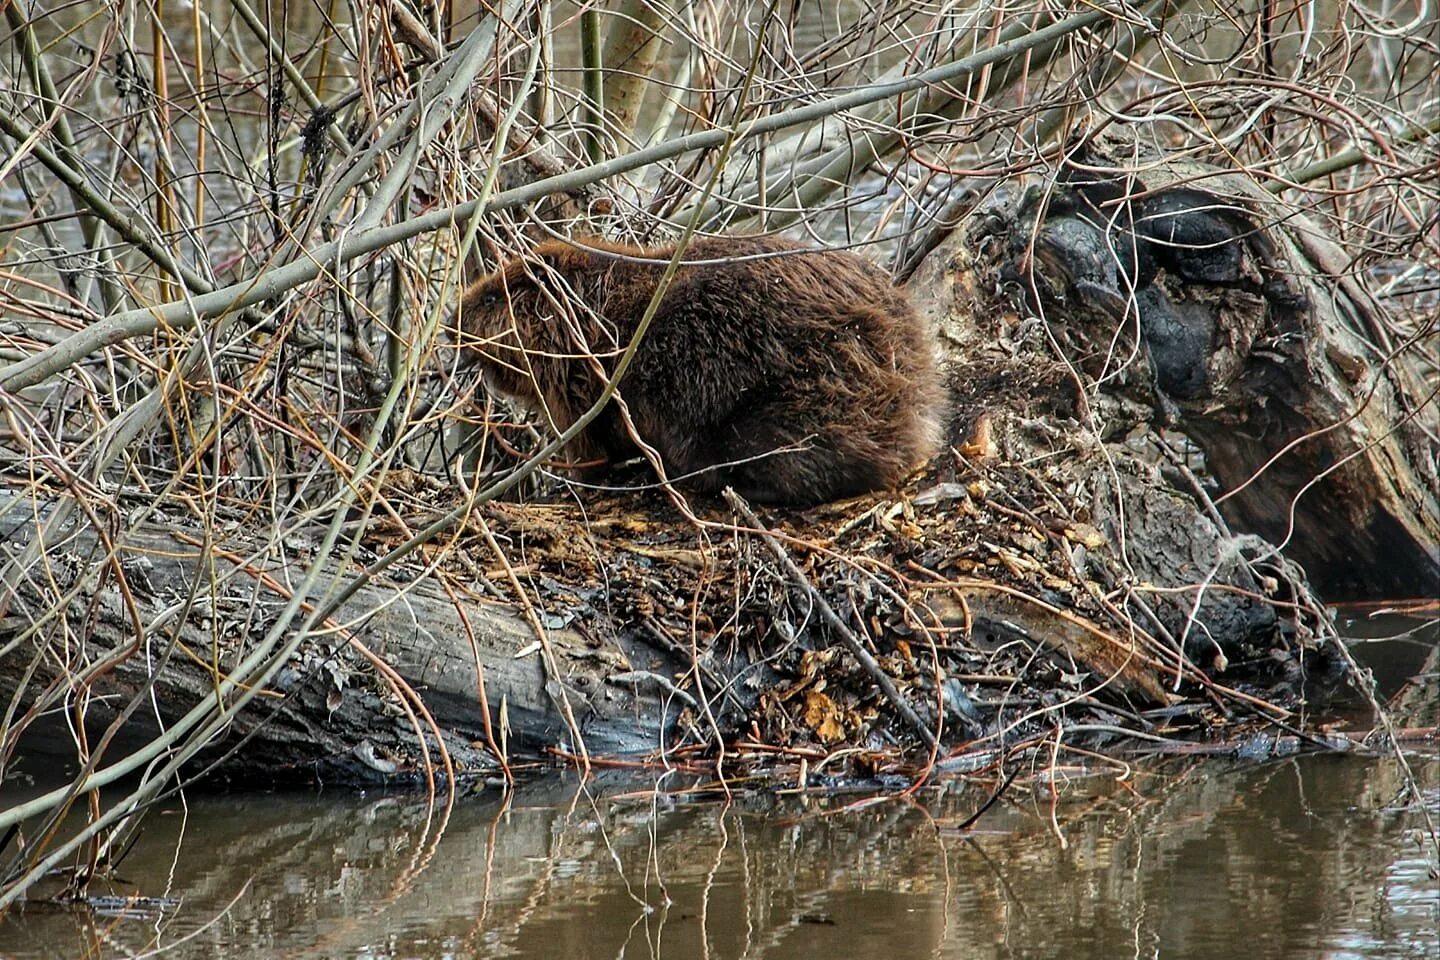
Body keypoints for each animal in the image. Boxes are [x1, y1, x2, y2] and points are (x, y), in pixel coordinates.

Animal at [452, 236, 944, 506]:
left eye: (492, 298)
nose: (452, 317)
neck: (605, 319)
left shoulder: (585, 391)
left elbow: (591, 449)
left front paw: (571, 482)